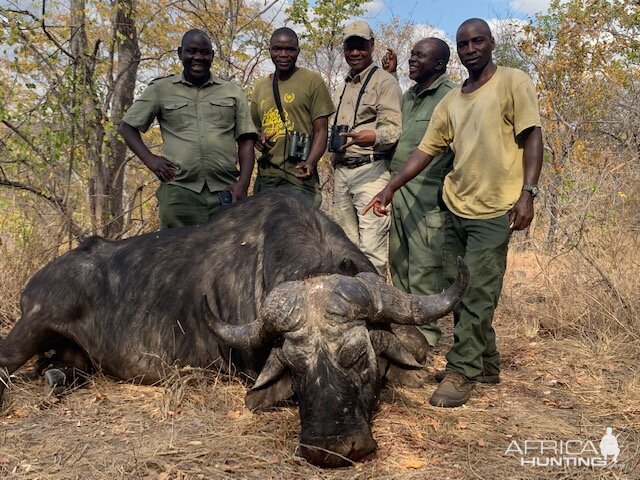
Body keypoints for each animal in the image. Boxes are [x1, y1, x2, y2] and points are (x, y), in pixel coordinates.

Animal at [0, 190, 470, 464]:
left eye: (357, 357)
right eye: (295, 369)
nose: (329, 449)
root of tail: (37, 282)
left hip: (77, 358)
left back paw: (56, 379)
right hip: (28, 330)